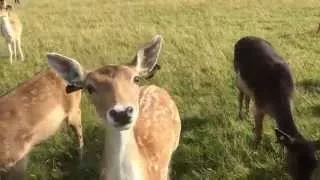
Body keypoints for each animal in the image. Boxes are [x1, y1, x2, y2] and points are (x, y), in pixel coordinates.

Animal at [234, 35, 318, 179]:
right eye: (295, 163)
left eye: (314, 166)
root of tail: (244, 37)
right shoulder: (259, 106)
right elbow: (260, 133)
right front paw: (254, 151)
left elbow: (280, 136)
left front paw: (279, 153)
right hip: (237, 76)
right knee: (241, 96)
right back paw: (241, 116)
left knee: (247, 98)